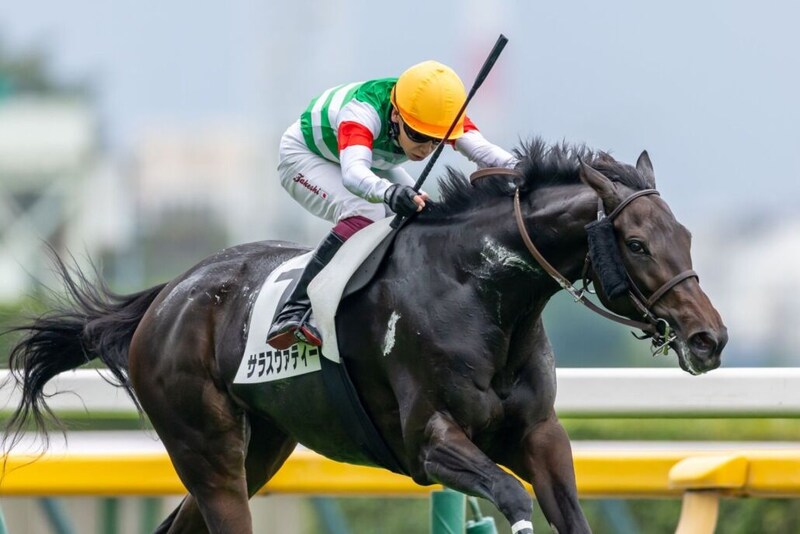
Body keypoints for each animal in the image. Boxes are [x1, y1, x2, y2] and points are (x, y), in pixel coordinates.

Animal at [2, 138, 727, 533]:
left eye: (687, 235)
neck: (480, 291)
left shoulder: (537, 435)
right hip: (206, 450)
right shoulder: (430, 442)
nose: (709, 340)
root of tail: (166, 298)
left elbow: (567, 511)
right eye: (637, 243)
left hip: (261, 449)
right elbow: (510, 498)